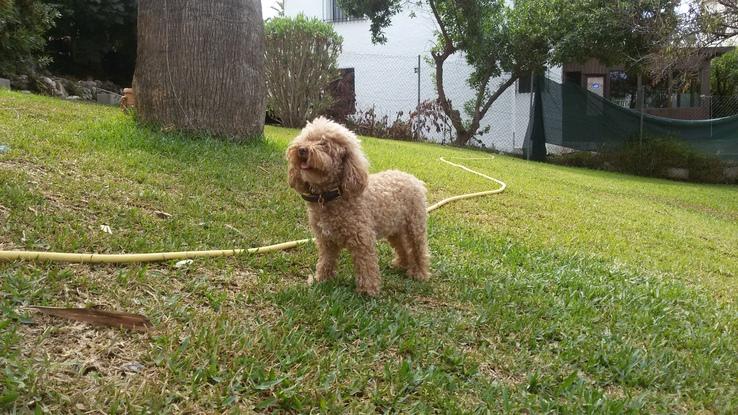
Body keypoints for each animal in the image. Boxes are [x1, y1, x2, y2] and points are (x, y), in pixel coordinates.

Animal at [284, 117, 428, 296]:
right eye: (306, 139)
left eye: (324, 144)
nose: (302, 150)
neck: (333, 195)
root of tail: (413, 178)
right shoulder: (326, 240)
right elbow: (326, 260)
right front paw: (322, 279)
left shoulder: (362, 239)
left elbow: (366, 266)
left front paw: (368, 291)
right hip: (395, 227)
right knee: (402, 246)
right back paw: (402, 264)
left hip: (415, 225)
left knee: (418, 248)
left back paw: (419, 273)